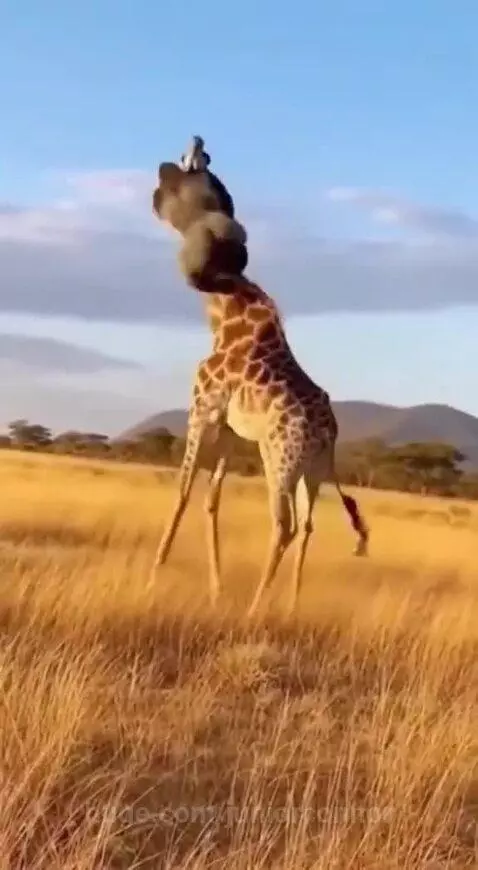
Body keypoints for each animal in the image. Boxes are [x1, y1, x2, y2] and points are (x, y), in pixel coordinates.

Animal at [151, 153, 369, 618]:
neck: (225, 318)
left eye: (181, 182)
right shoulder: (230, 429)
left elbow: (182, 491)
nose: (161, 168)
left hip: (280, 459)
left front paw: (152, 579)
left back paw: (255, 610)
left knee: (284, 524)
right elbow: (211, 499)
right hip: (312, 470)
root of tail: (329, 432)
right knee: (308, 525)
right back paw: (290, 605)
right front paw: (216, 590)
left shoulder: (201, 408)